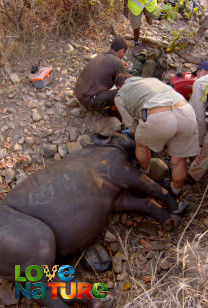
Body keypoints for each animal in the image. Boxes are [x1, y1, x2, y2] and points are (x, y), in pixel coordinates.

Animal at [0, 134, 185, 306]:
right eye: (130, 135)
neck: (109, 143)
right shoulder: (121, 170)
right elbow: (152, 186)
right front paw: (180, 206)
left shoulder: (117, 198)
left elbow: (144, 202)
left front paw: (170, 222)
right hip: (19, 232)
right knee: (39, 265)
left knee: (44, 273)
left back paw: (101, 302)